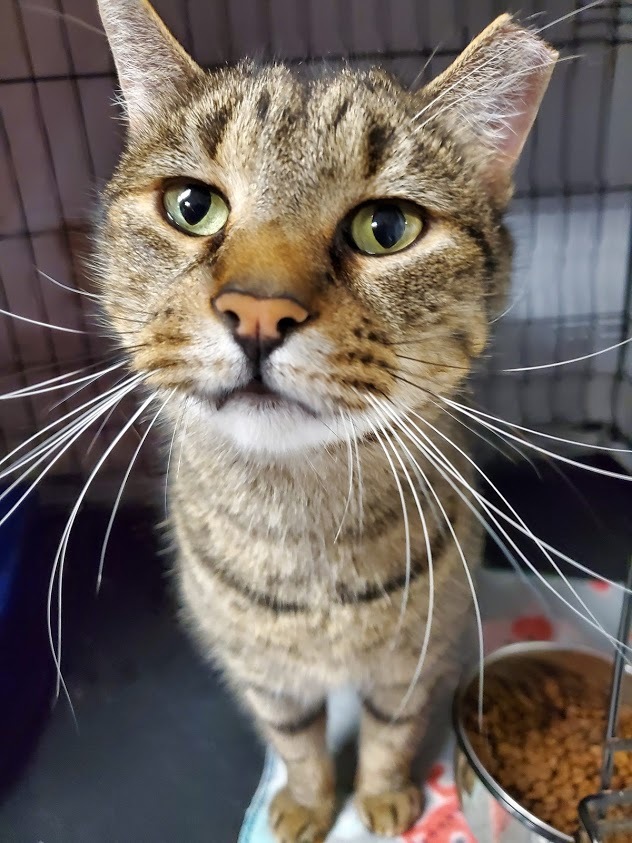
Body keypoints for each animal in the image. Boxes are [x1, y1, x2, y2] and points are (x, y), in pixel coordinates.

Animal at [95, 3, 556, 840]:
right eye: (191, 206)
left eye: (387, 227)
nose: (258, 311)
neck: (303, 539)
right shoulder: (263, 673)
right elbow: (296, 742)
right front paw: (310, 803)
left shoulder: (416, 655)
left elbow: (391, 730)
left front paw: (382, 798)